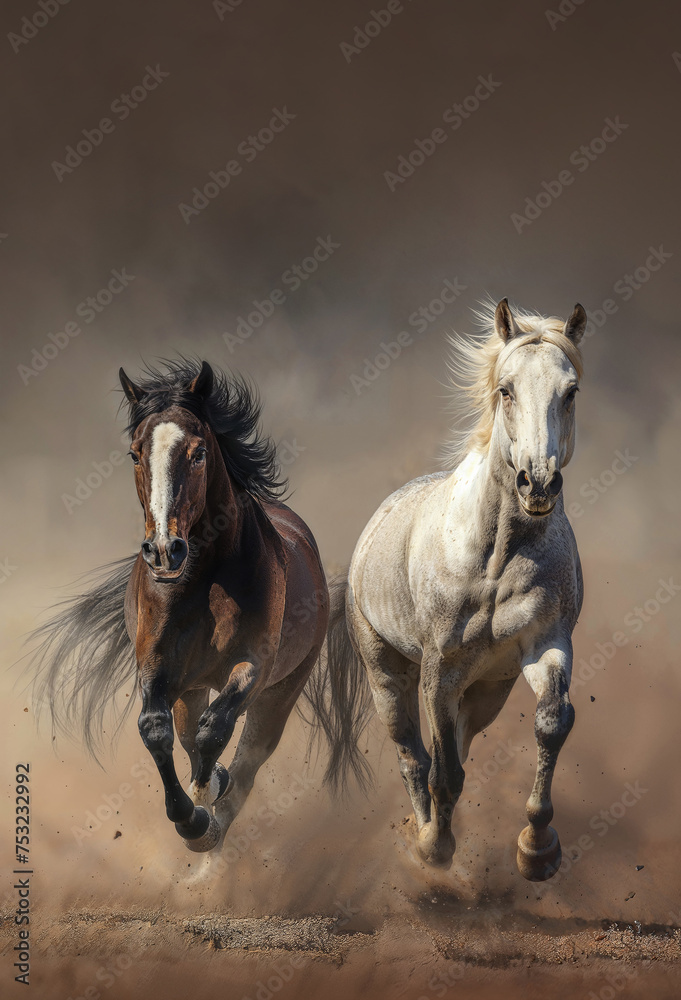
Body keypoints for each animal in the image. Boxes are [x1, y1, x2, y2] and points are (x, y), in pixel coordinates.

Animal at [28, 359, 366, 854]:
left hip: (280, 691)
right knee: (189, 736)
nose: (164, 551)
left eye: (199, 452)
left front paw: (203, 810)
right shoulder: (157, 664)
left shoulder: (254, 664)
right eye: (135, 454)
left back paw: (217, 809)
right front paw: (187, 815)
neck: (203, 581)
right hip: (190, 687)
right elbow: (157, 729)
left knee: (246, 761)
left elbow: (216, 729)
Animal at [325, 299, 588, 881]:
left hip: (489, 687)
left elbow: (551, 723)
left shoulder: (546, 645)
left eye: (571, 391)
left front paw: (538, 849)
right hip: (387, 678)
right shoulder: (437, 672)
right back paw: (422, 833)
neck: (494, 559)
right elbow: (440, 772)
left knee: (459, 746)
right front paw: (434, 849)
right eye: (506, 389)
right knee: (413, 758)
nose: (538, 483)